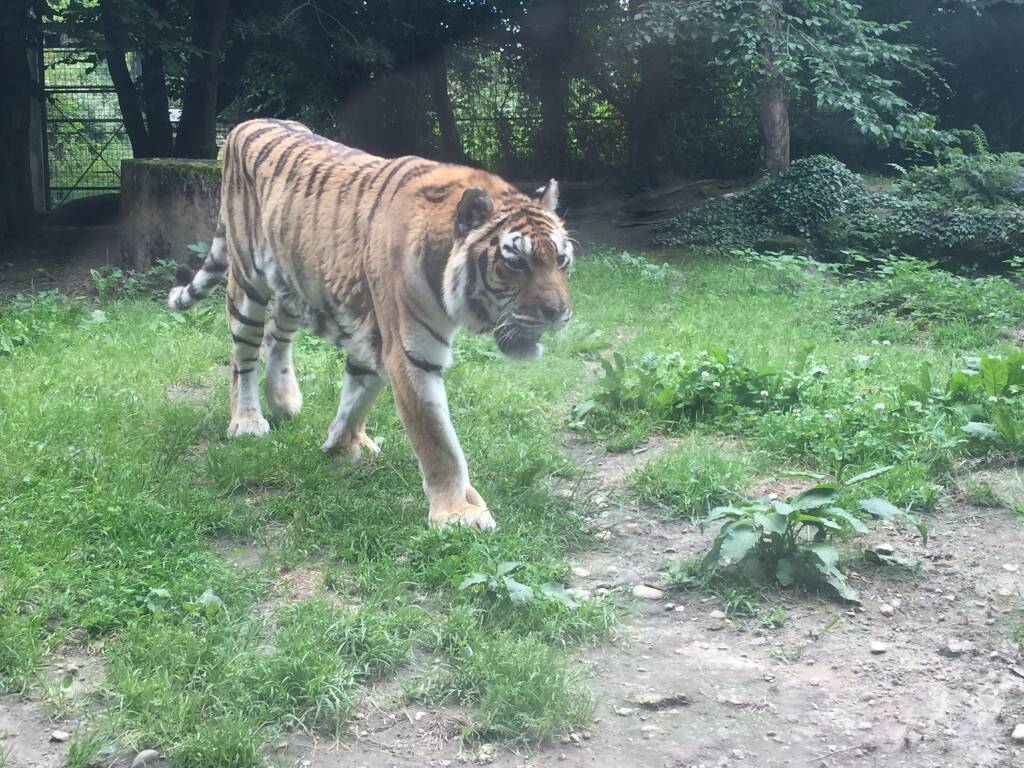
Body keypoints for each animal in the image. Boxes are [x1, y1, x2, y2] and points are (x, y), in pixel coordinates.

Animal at [168, 118, 574, 531]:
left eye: (561, 260)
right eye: (517, 262)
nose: (558, 313)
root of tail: (244, 125)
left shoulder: (374, 337)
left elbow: (358, 392)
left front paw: (342, 443)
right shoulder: (410, 354)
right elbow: (438, 440)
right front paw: (457, 512)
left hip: (296, 281)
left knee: (276, 336)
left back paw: (285, 401)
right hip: (248, 281)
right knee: (243, 355)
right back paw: (248, 421)